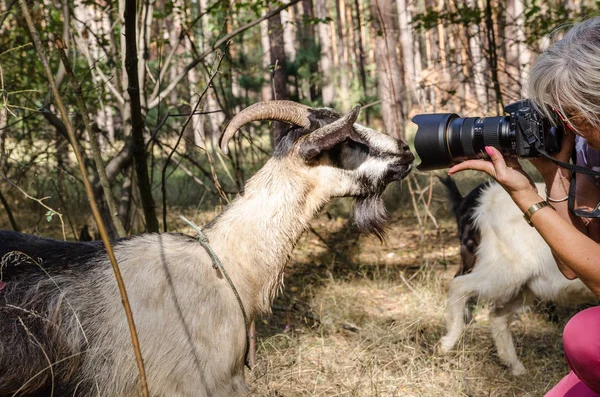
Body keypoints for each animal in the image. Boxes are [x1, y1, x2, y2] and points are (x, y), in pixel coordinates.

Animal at [436, 176, 596, 374]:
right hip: (506, 269)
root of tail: (487, 197)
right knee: (459, 284)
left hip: (525, 285)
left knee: (497, 316)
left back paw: (514, 366)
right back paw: (448, 341)